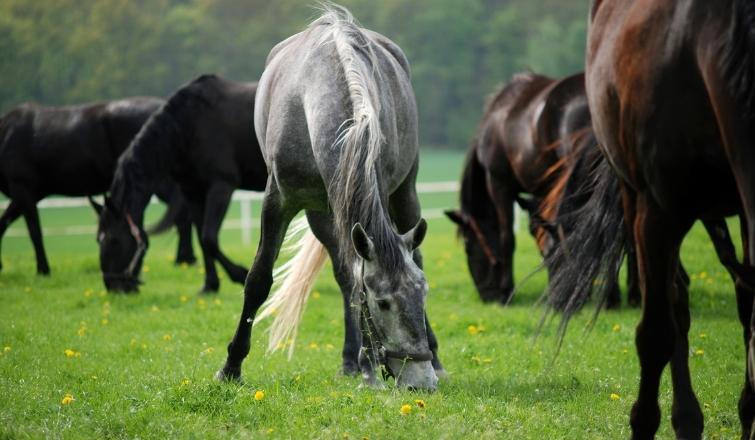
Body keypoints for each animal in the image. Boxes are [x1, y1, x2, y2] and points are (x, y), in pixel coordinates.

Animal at [0, 99, 195, 276]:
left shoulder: (23, 189)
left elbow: (34, 232)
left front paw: (43, 270)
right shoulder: (30, 194)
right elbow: (5, 223)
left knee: (182, 215)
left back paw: (184, 259)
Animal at [94, 75, 266, 294]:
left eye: (114, 240)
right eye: (97, 239)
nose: (113, 287)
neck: (188, 125)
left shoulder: (221, 187)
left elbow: (209, 238)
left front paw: (240, 274)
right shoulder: (192, 191)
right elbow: (202, 239)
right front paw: (210, 285)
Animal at [216, 3, 442, 388]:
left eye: (423, 294)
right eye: (382, 302)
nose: (420, 381)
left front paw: (371, 365)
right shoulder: (279, 201)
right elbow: (259, 279)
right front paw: (231, 366)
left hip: (404, 194)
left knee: (409, 253)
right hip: (321, 213)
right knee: (343, 274)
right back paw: (353, 360)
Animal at [548, 1, 755, 438]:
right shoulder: (657, 212)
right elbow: (656, 332)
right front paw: (644, 421)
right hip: (640, 202)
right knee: (675, 302)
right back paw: (686, 419)